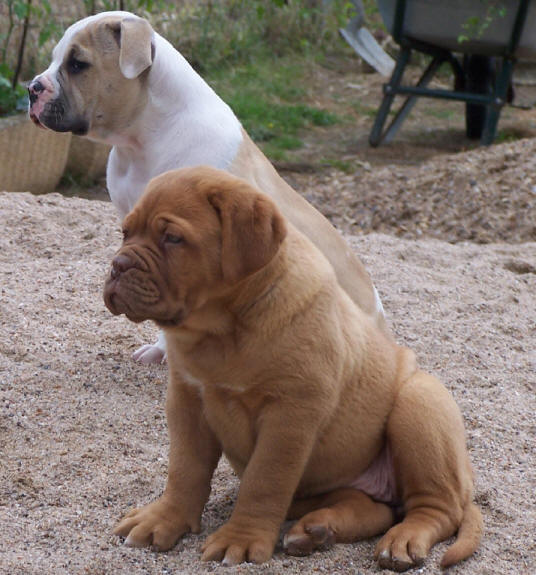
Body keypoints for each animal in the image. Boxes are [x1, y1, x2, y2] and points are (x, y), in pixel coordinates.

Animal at [103, 166, 482, 572]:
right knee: (373, 508)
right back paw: (317, 530)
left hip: (418, 404)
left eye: (172, 238)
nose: (118, 265)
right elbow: (184, 469)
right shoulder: (187, 400)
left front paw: (241, 539)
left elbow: (264, 481)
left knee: (438, 508)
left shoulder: (290, 413)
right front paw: (163, 519)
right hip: (323, 486)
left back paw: (402, 541)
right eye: (126, 232)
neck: (224, 331)